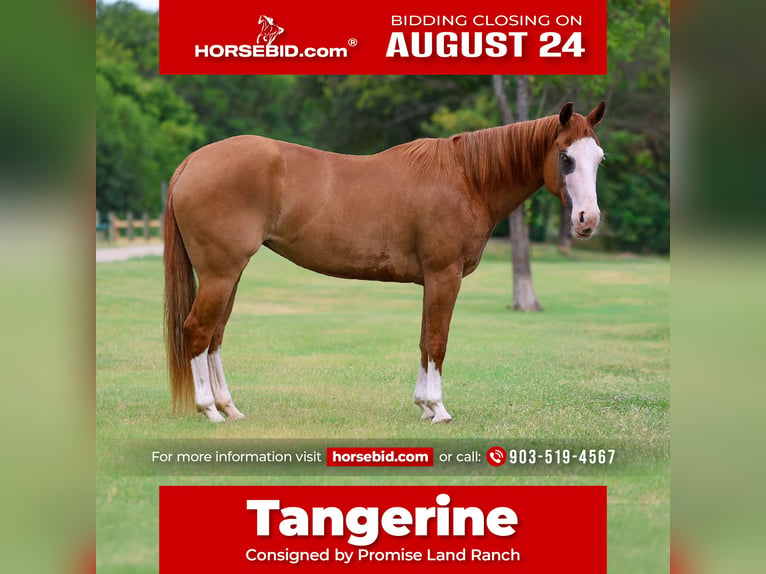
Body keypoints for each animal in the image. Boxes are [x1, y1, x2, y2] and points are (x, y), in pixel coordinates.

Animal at [164, 101, 606, 423]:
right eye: (565, 157)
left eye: (599, 158)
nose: (588, 220)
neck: (466, 178)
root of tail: (191, 162)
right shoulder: (445, 276)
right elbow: (437, 341)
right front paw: (438, 409)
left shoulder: (433, 280)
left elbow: (425, 339)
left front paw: (424, 405)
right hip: (220, 274)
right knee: (198, 330)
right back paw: (209, 411)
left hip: (231, 274)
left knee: (216, 335)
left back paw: (229, 408)